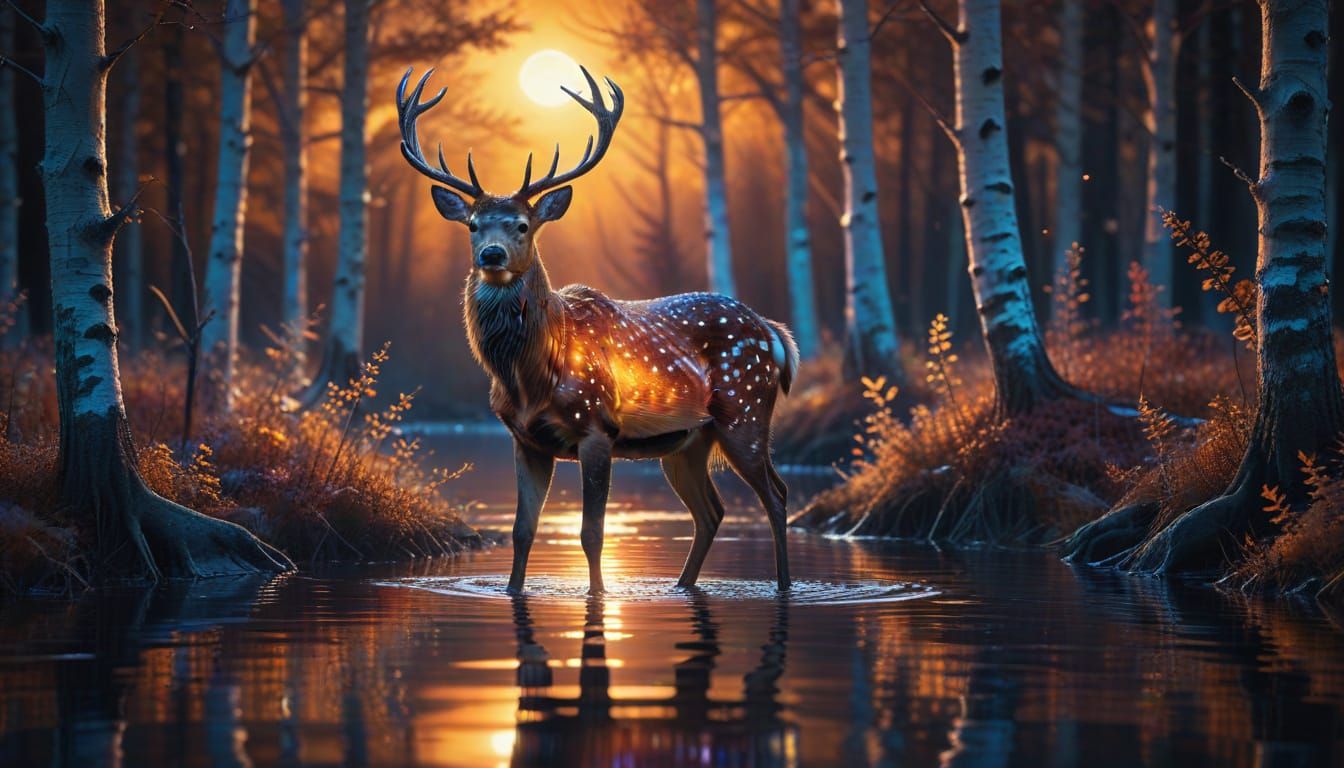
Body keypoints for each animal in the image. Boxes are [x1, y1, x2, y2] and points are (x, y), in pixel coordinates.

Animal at [395, 65, 799, 595]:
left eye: (522, 225)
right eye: (473, 225)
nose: (492, 255)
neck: (530, 377)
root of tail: (774, 332)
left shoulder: (596, 427)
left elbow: (592, 532)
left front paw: (599, 594)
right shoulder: (524, 439)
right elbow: (522, 530)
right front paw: (512, 591)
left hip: (745, 410)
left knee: (777, 494)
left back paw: (784, 585)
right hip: (687, 442)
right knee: (712, 511)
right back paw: (681, 586)